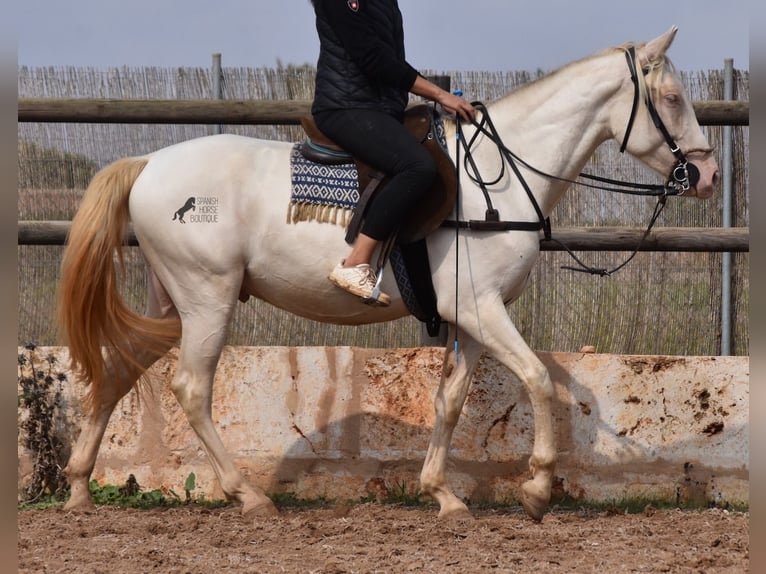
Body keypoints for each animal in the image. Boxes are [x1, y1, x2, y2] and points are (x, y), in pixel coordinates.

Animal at [58, 25, 720, 520]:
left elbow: (449, 401)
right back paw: (247, 495)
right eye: (670, 99)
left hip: (174, 304)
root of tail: (148, 163)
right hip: (208, 300)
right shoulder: (482, 308)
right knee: (192, 389)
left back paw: (79, 486)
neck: (499, 175)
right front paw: (535, 491)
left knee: (117, 371)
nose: (707, 176)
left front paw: (444, 495)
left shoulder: (471, 318)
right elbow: (537, 378)